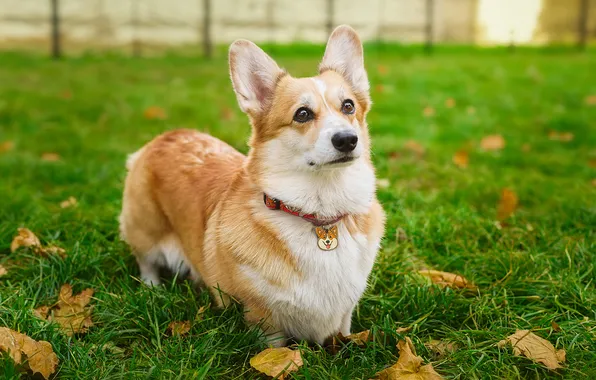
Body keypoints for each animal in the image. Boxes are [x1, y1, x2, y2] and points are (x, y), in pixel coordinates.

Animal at [118, 25, 386, 346]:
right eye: (302, 114)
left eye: (348, 106)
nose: (347, 140)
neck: (319, 216)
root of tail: (167, 135)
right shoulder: (264, 319)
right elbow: (275, 351)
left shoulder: (345, 313)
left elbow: (342, 333)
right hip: (144, 228)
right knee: (145, 261)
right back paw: (152, 289)